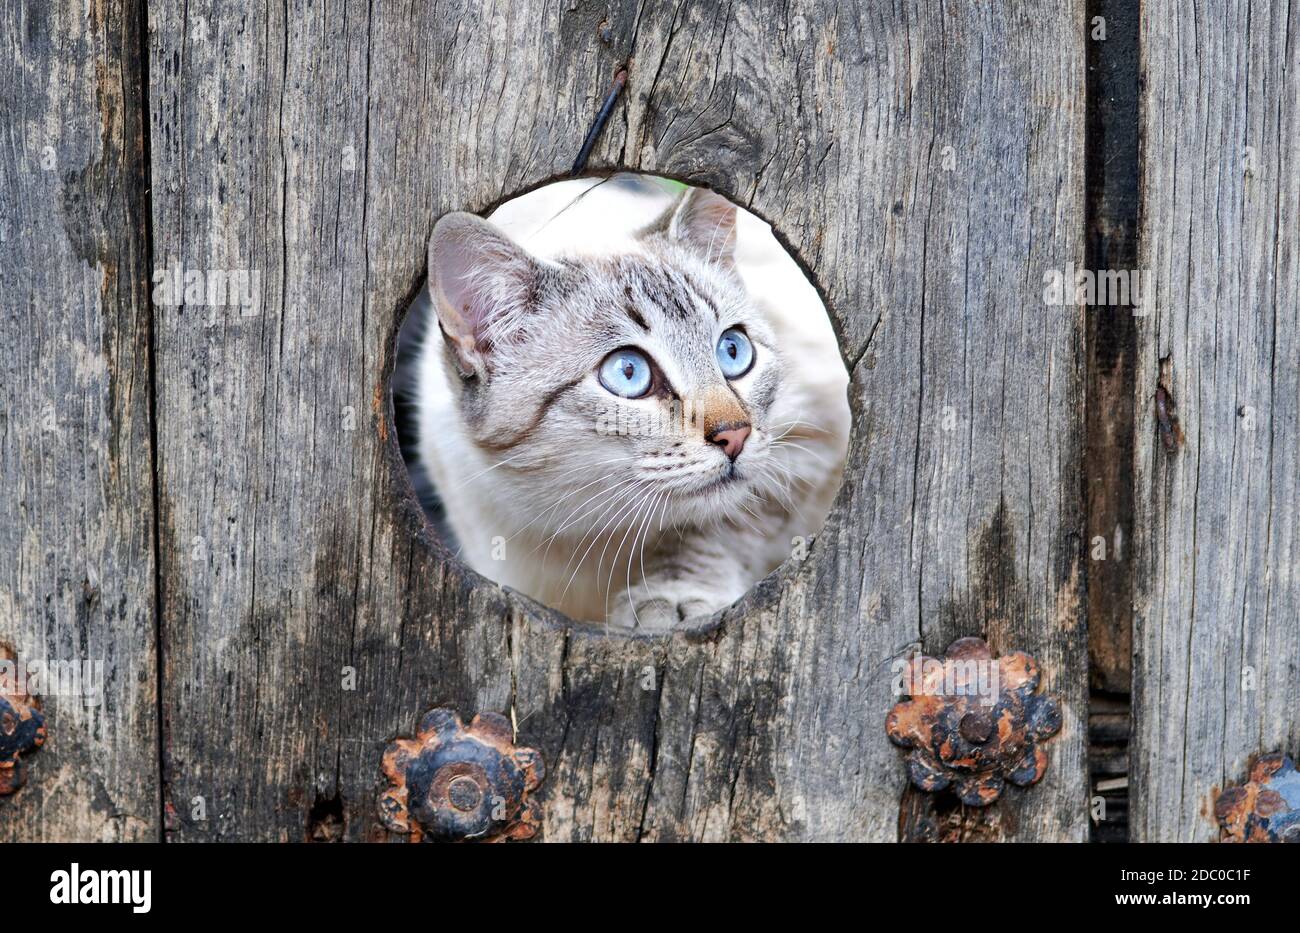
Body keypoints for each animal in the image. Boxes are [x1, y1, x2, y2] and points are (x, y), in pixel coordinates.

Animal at [408, 176, 852, 628]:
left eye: (732, 350)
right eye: (628, 372)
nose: (736, 435)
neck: (580, 534)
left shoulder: (812, 439)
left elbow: (715, 526)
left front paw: (671, 598)